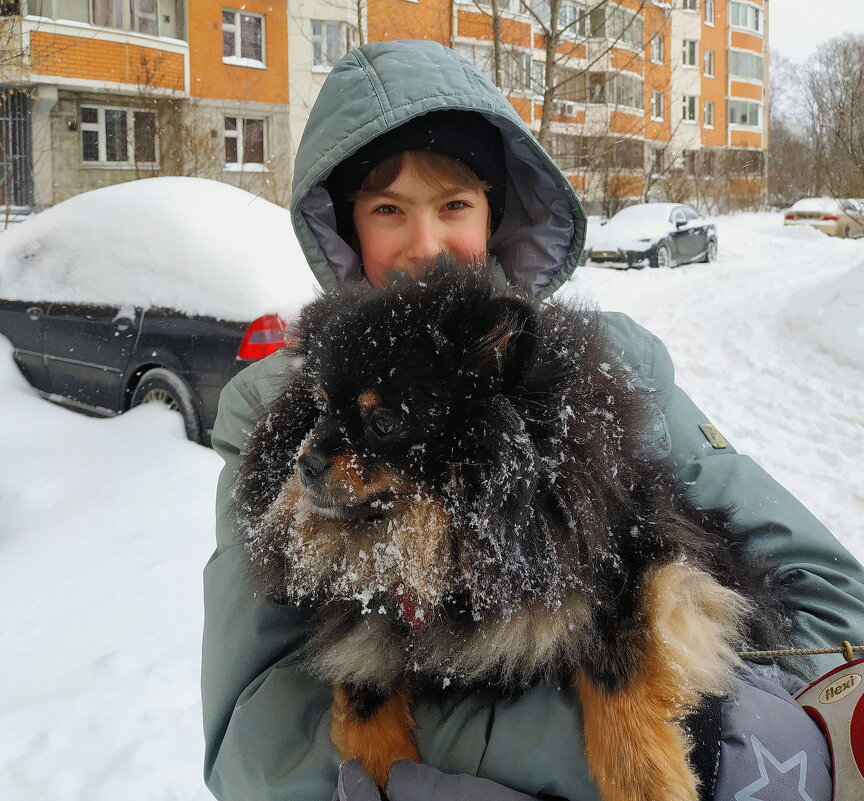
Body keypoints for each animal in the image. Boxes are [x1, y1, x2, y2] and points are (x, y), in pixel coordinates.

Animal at [233, 260, 800, 800]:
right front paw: (379, 772)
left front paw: (648, 778)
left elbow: (618, 664)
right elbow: (363, 698)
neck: (436, 539)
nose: (305, 462)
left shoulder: (641, 550)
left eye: (385, 423)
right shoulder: (366, 621)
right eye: (320, 407)